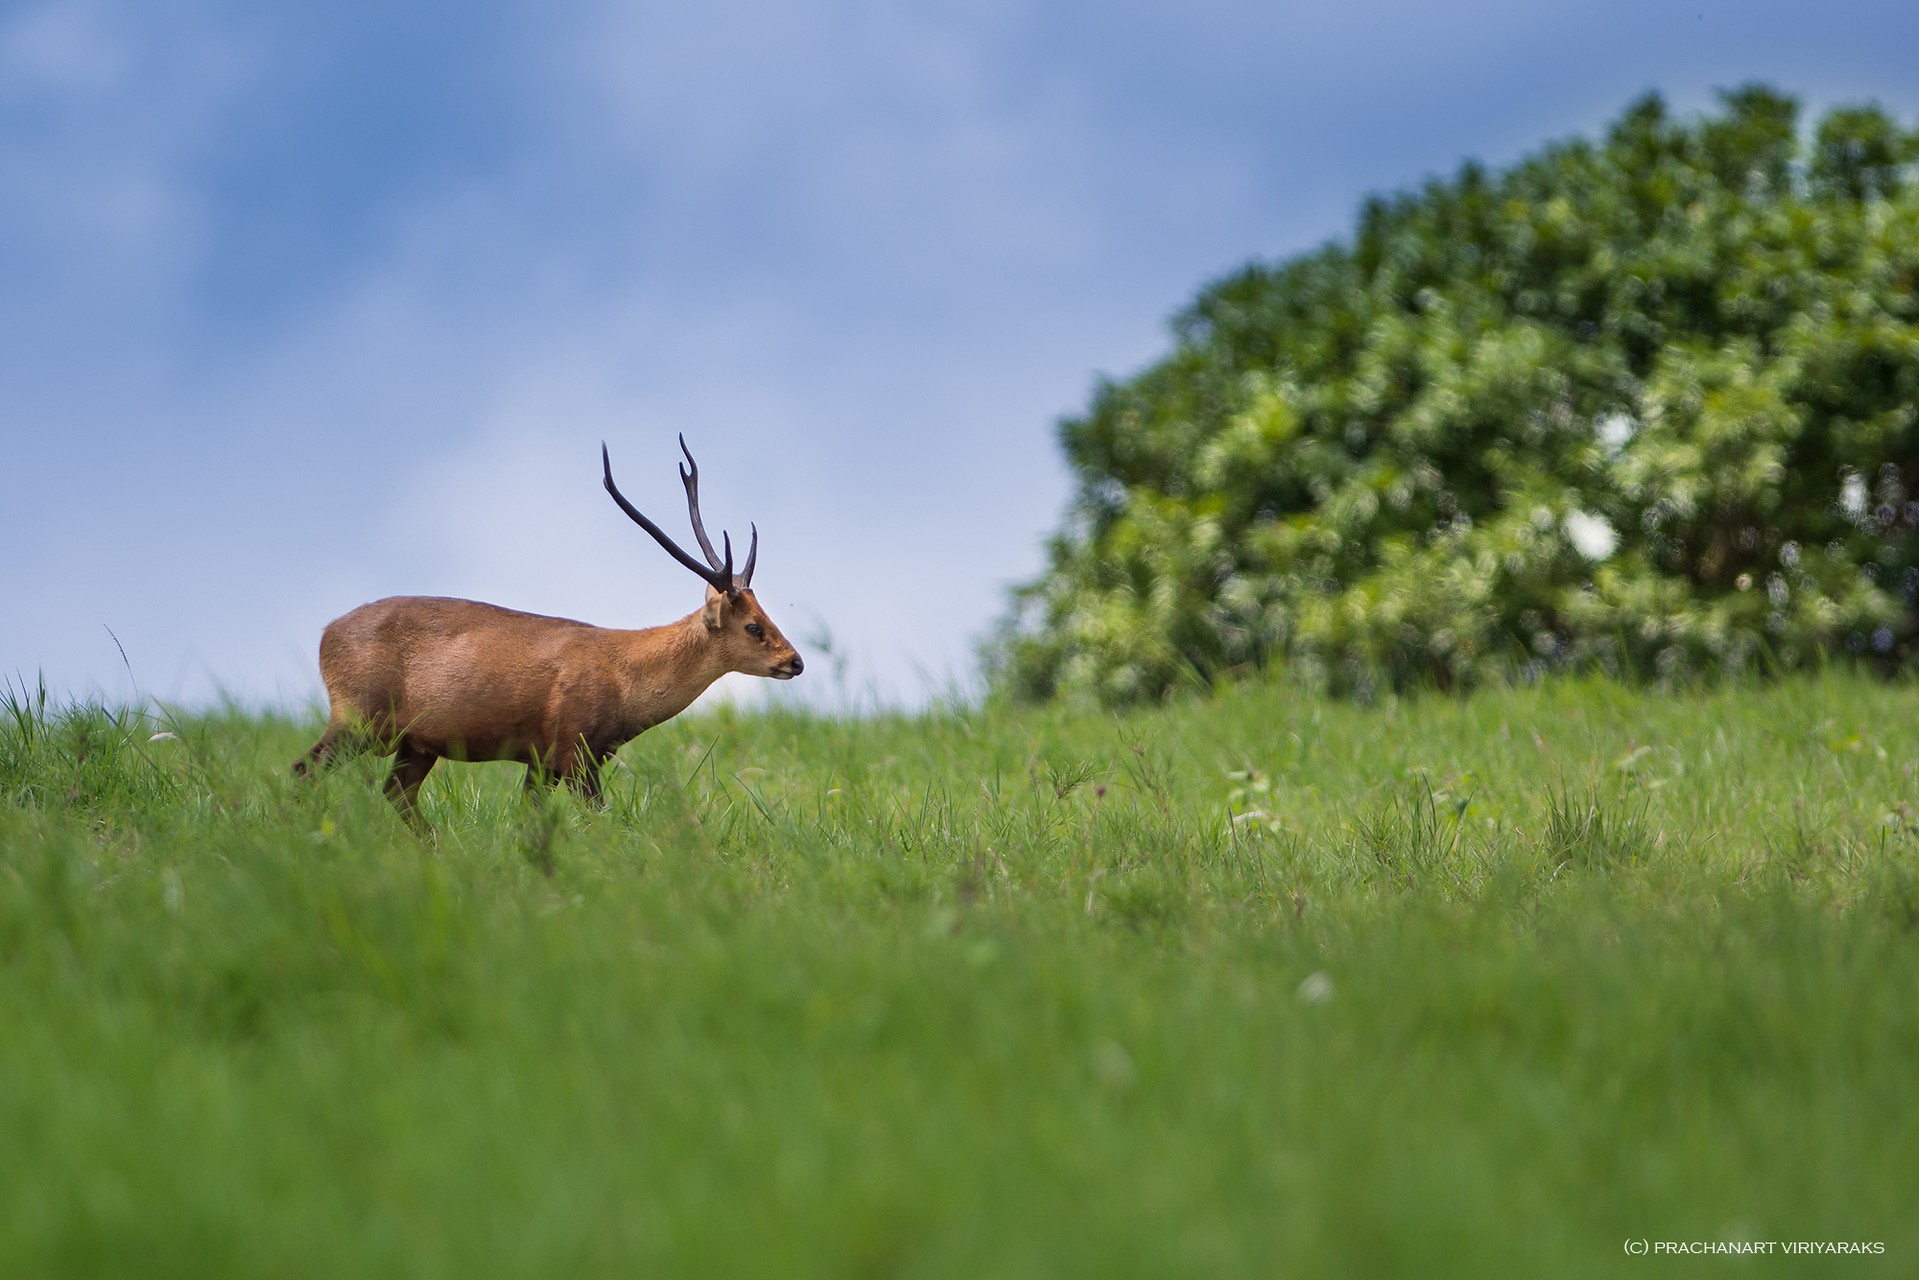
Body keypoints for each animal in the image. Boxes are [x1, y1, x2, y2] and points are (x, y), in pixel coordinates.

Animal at [293, 437, 803, 822]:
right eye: (754, 626)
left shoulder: (548, 759)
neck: (625, 681)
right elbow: (603, 821)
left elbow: (529, 818)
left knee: (395, 794)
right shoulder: (574, 749)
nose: (795, 661)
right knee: (304, 769)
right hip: (358, 714)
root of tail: (325, 635)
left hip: (414, 742)